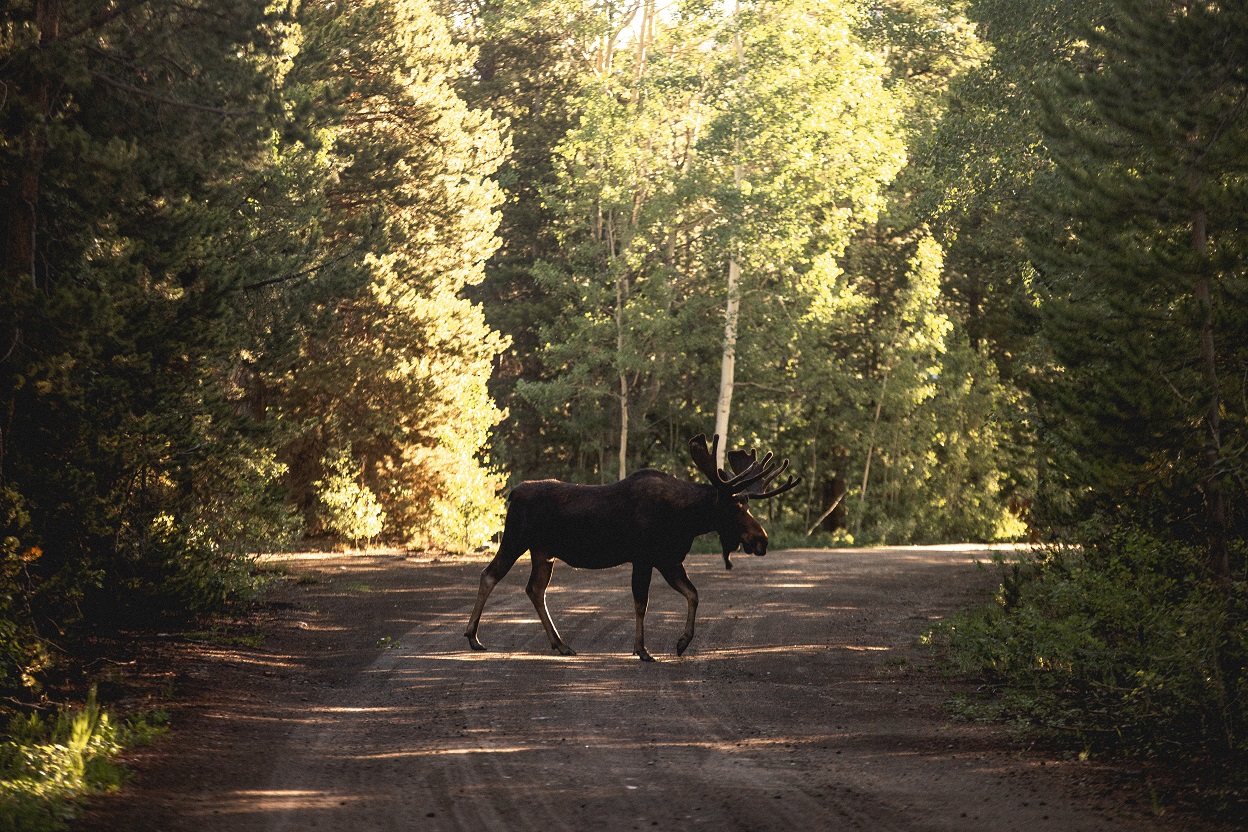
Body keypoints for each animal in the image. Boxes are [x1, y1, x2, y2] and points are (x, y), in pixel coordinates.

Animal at [461, 436, 798, 663]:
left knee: (534, 589)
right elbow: (641, 603)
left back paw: (561, 644)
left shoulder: (669, 559)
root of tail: (513, 493)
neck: (685, 520)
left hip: (544, 551)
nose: (762, 539)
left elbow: (693, 594)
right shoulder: (645, 557)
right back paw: (473, 636)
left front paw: (682, 642)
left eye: (747, 505)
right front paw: (643, 649)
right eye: (734, 508)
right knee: (489, 575)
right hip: (515, 539)